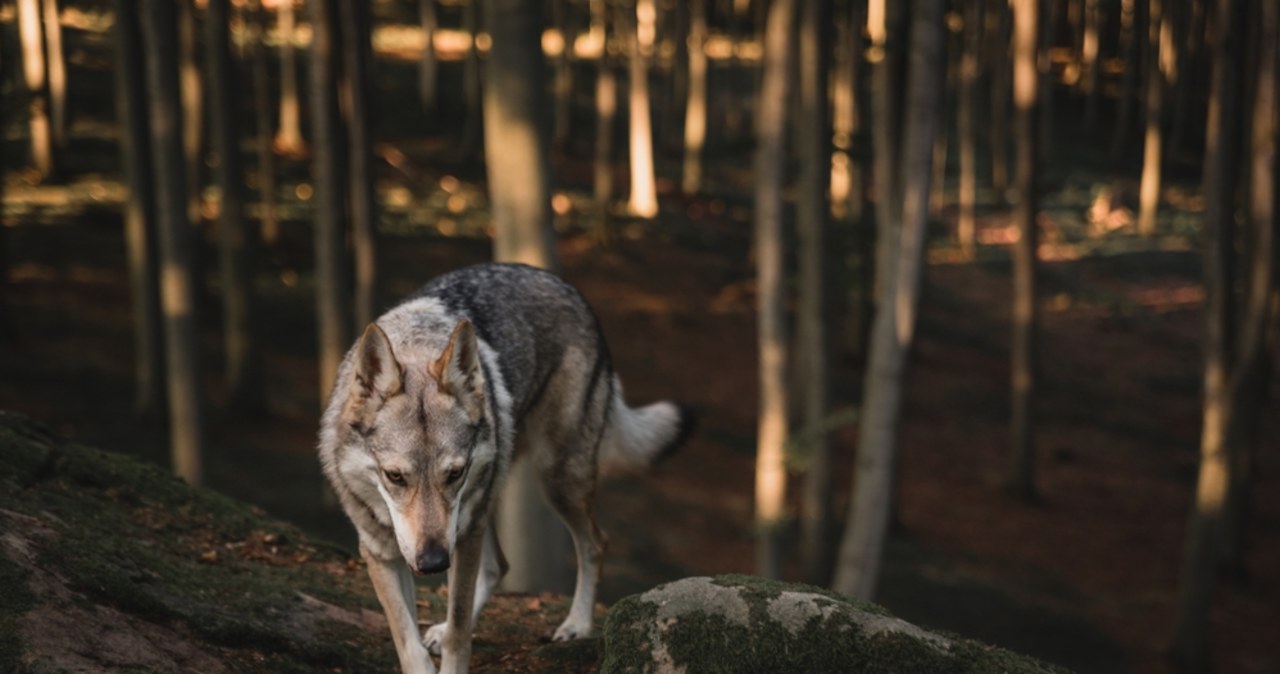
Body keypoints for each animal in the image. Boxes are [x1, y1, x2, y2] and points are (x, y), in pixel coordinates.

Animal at [316, 263, 696, 674]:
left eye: (454, 473)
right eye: (395, 477)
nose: (434, 563)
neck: (416, 344)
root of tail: (563, 284)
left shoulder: (461, 537)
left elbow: (459, 634)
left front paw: (452, 645)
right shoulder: (381, 552)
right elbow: (408, 644)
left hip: (553, 481)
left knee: (595, 542)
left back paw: (576, 625)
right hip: (491, 503)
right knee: (499, 565)